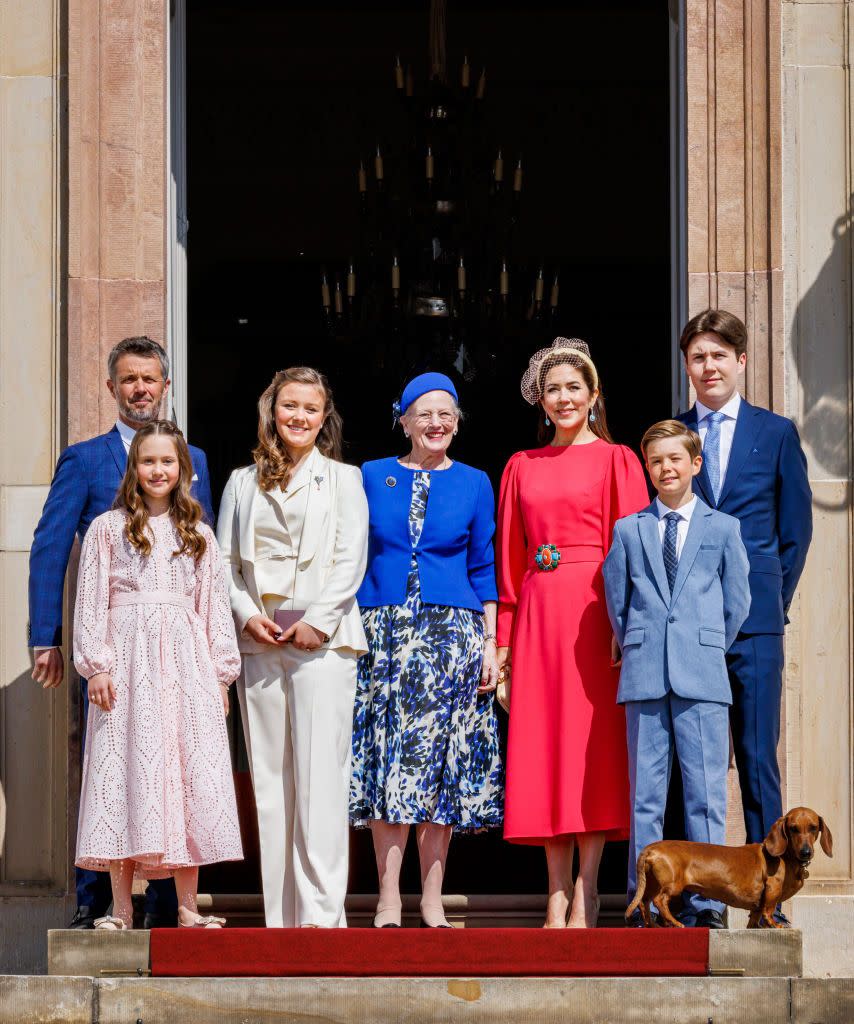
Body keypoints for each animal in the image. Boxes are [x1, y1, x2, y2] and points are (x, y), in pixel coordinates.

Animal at [622, 806, 827, 929]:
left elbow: (754, 917)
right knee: (659, 901)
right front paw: (775, 926)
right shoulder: (772, 889)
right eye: (793, 828)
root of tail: (650, 848)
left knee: (643, 902)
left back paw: (651, 925)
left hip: (652, 884)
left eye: (813, 827)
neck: (786, 857)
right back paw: (675, 923)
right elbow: (768, 911)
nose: (806, 852)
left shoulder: (757, 905)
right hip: (671, 885)